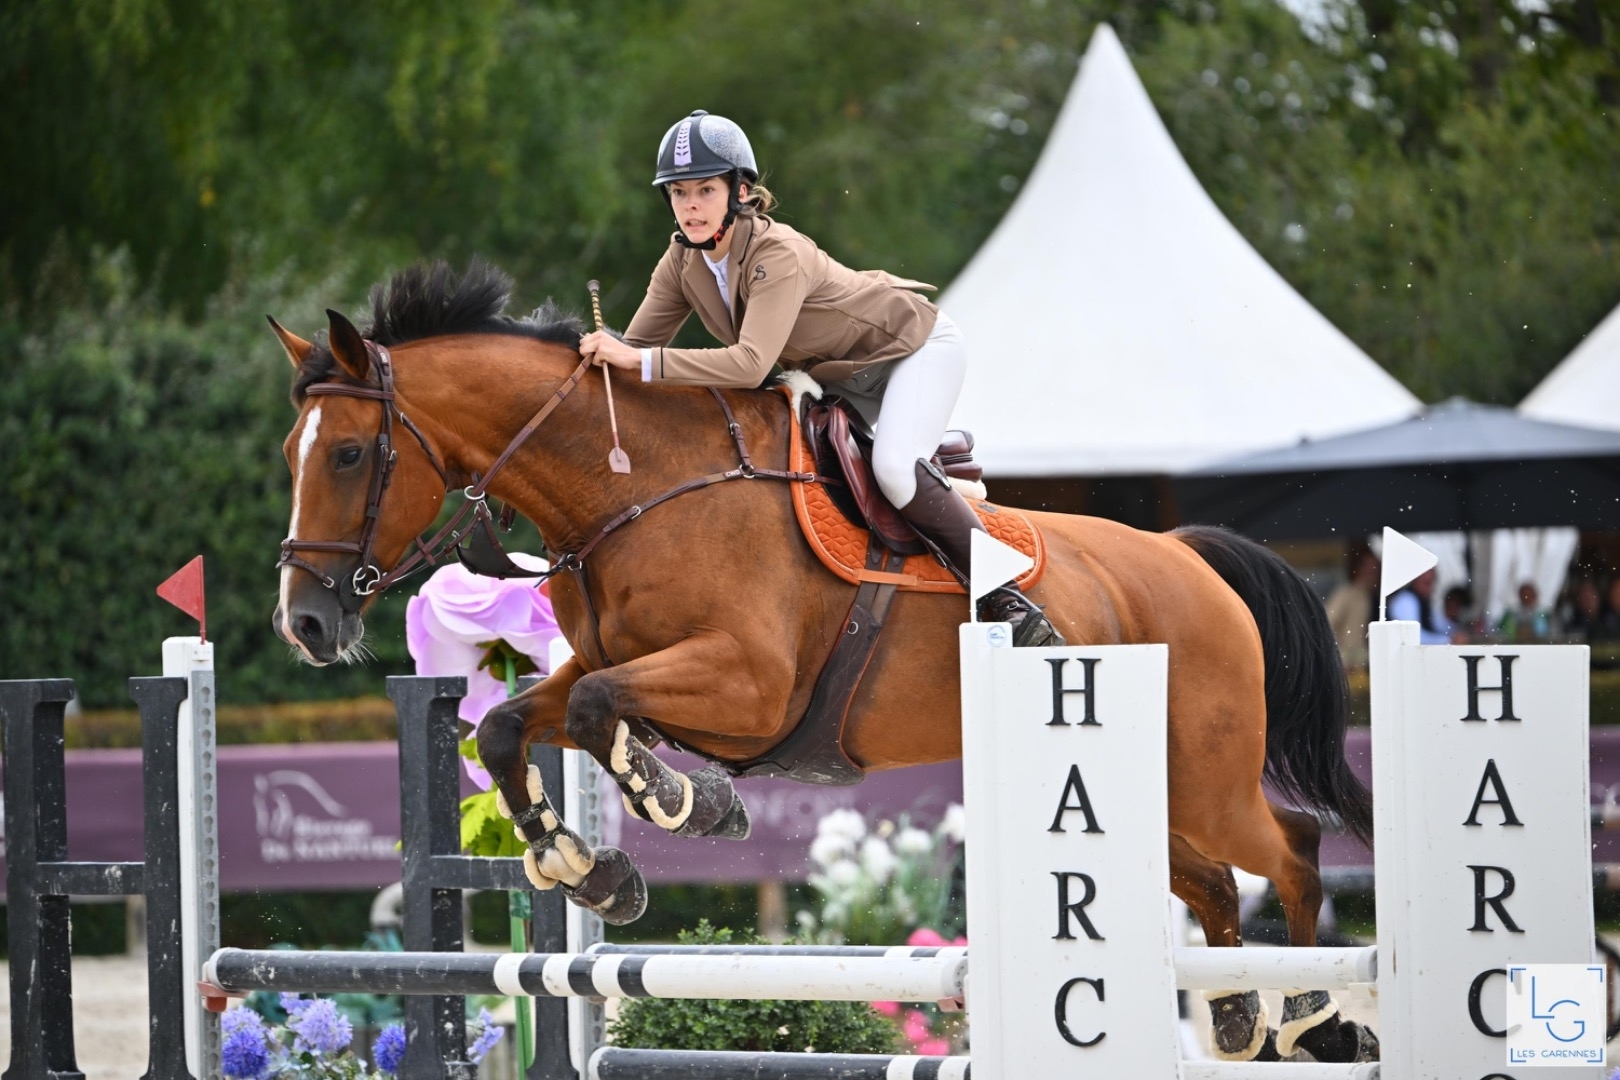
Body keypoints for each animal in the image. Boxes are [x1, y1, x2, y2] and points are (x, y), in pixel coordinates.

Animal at [270, 260, 1376, 1063]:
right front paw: (592, 869)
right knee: (1214, 885)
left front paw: (685, 805)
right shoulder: (609, 667)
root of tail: (1191, 559)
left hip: (1205, 771)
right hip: (1134, 787)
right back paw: (1238, 1017)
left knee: (1289, 849)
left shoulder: (747, 686)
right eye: (294, 453)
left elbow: (598, 714)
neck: (631, 484)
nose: (305, 624)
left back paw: (1313, 1018)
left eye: (351, 454)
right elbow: (513, 724)